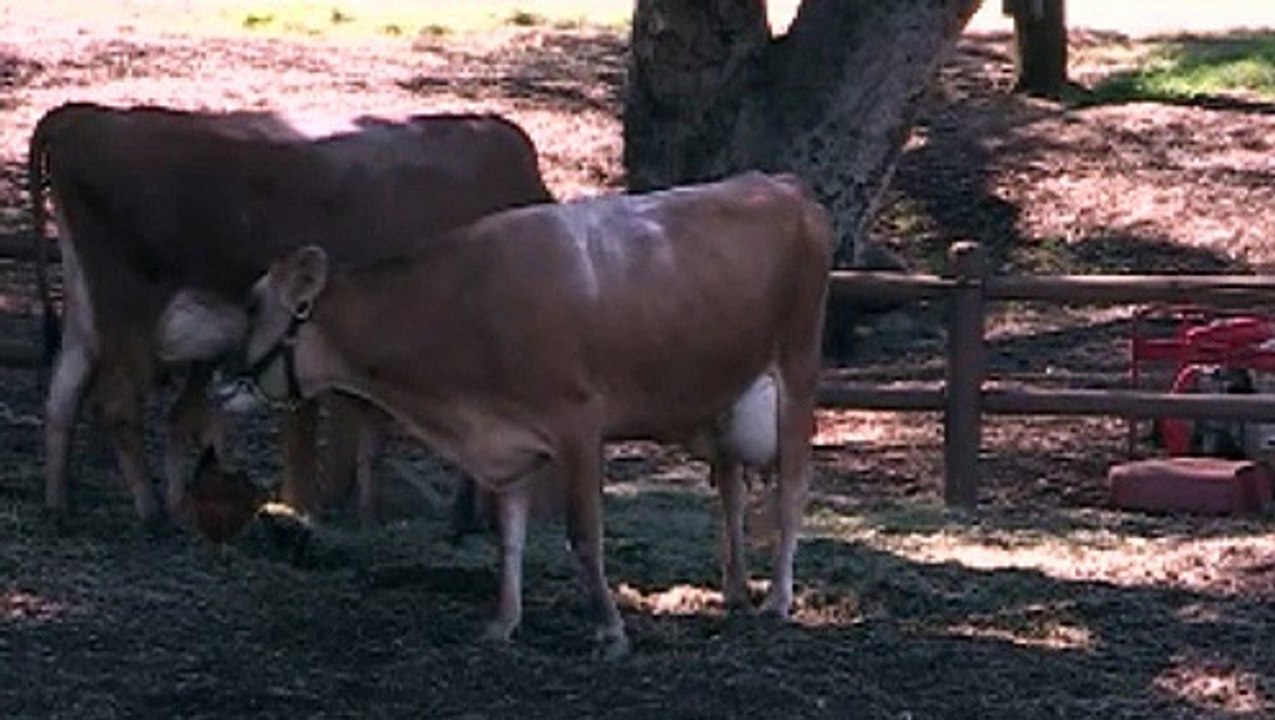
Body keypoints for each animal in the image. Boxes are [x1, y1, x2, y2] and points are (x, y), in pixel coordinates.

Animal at [29, 101, 553, 528]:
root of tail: (88, 117)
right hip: (129, 312)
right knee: (115, 404)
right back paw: (150, 511)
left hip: (85, 308)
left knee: (62, 393)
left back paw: (60, 504)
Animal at [227, 171, 834, 657]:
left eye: (255, 304)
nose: (228, 372)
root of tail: (782, 185)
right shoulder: (506, 440)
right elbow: (509, 538)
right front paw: (503, 622)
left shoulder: (579, 423)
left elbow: (584, 535)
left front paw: (610, 631)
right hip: (721, 400)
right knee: (730, 488)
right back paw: (734, 589)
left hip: (797, 369)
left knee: (793, 487)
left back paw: (777, 600)